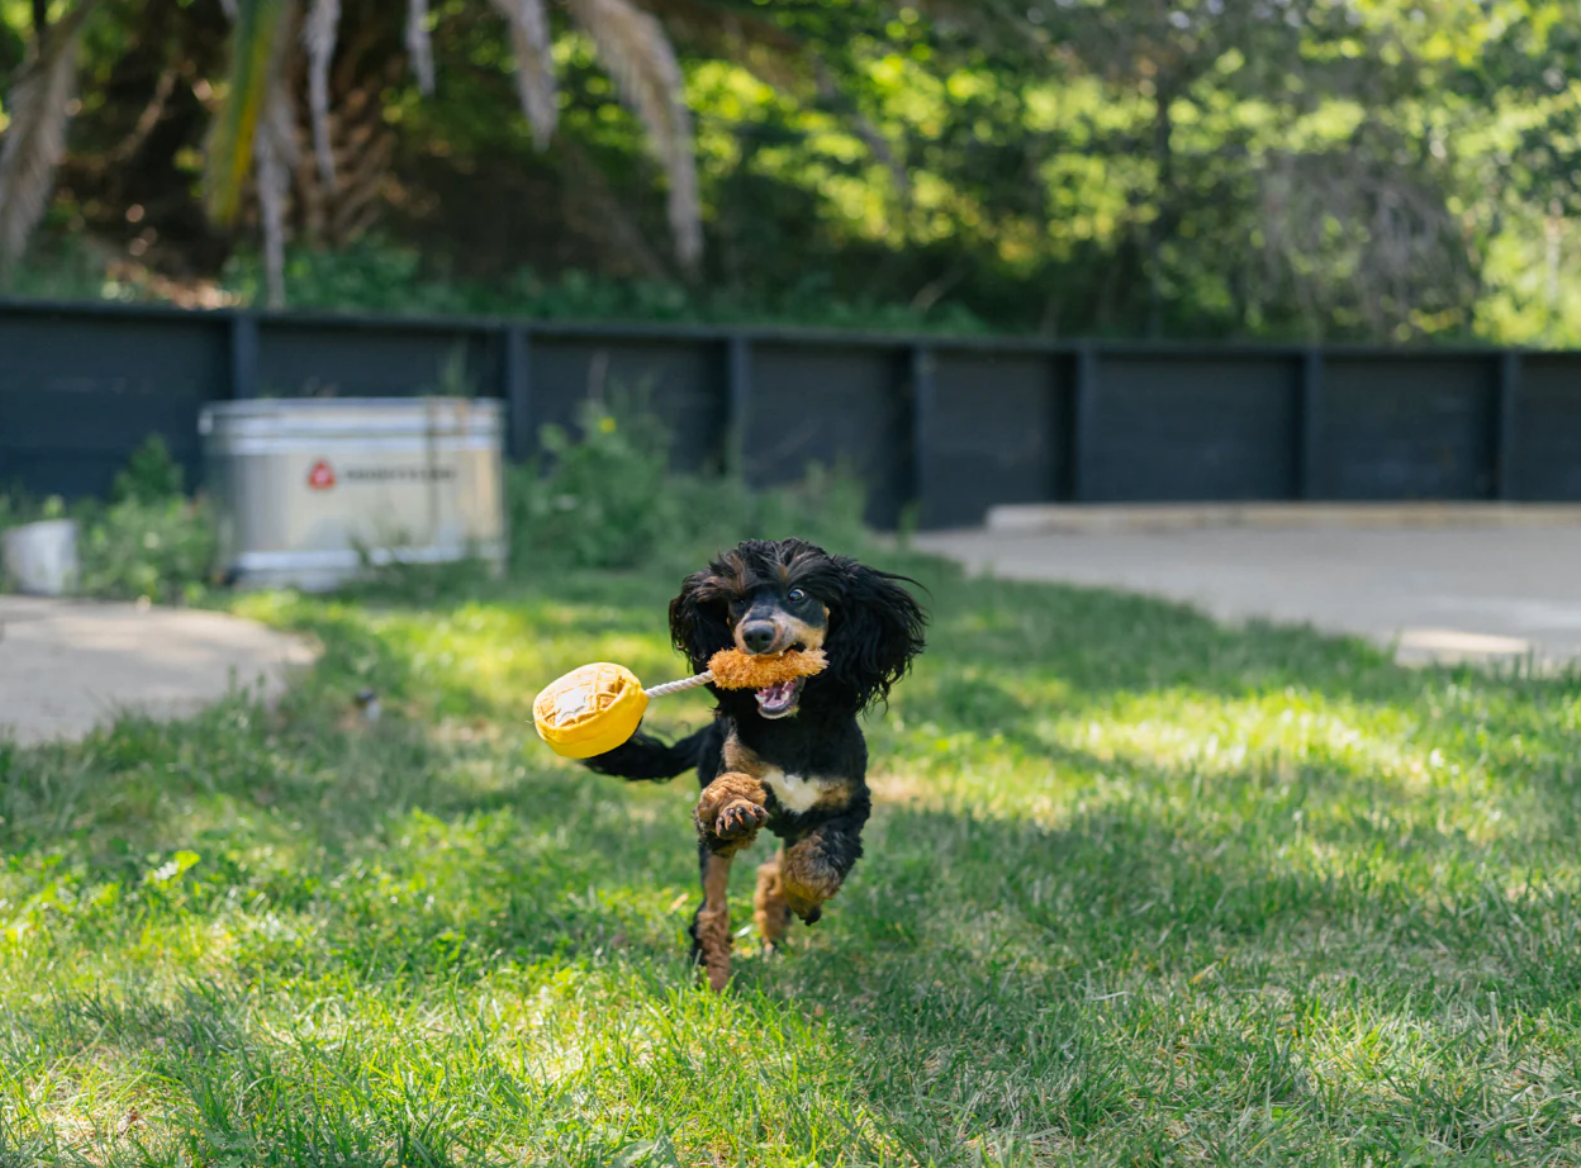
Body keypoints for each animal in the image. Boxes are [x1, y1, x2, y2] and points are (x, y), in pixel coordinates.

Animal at [588, 537, 923, 986]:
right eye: (739, 600)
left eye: (797, 594)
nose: (756, 633)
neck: (794, 729)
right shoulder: (728, 783)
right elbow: (724, 799)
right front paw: (735, 813)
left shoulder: (849, 807)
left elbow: (815, 864)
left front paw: (804, 901)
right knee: (712, 906)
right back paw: (713, 974)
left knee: (776, 869)